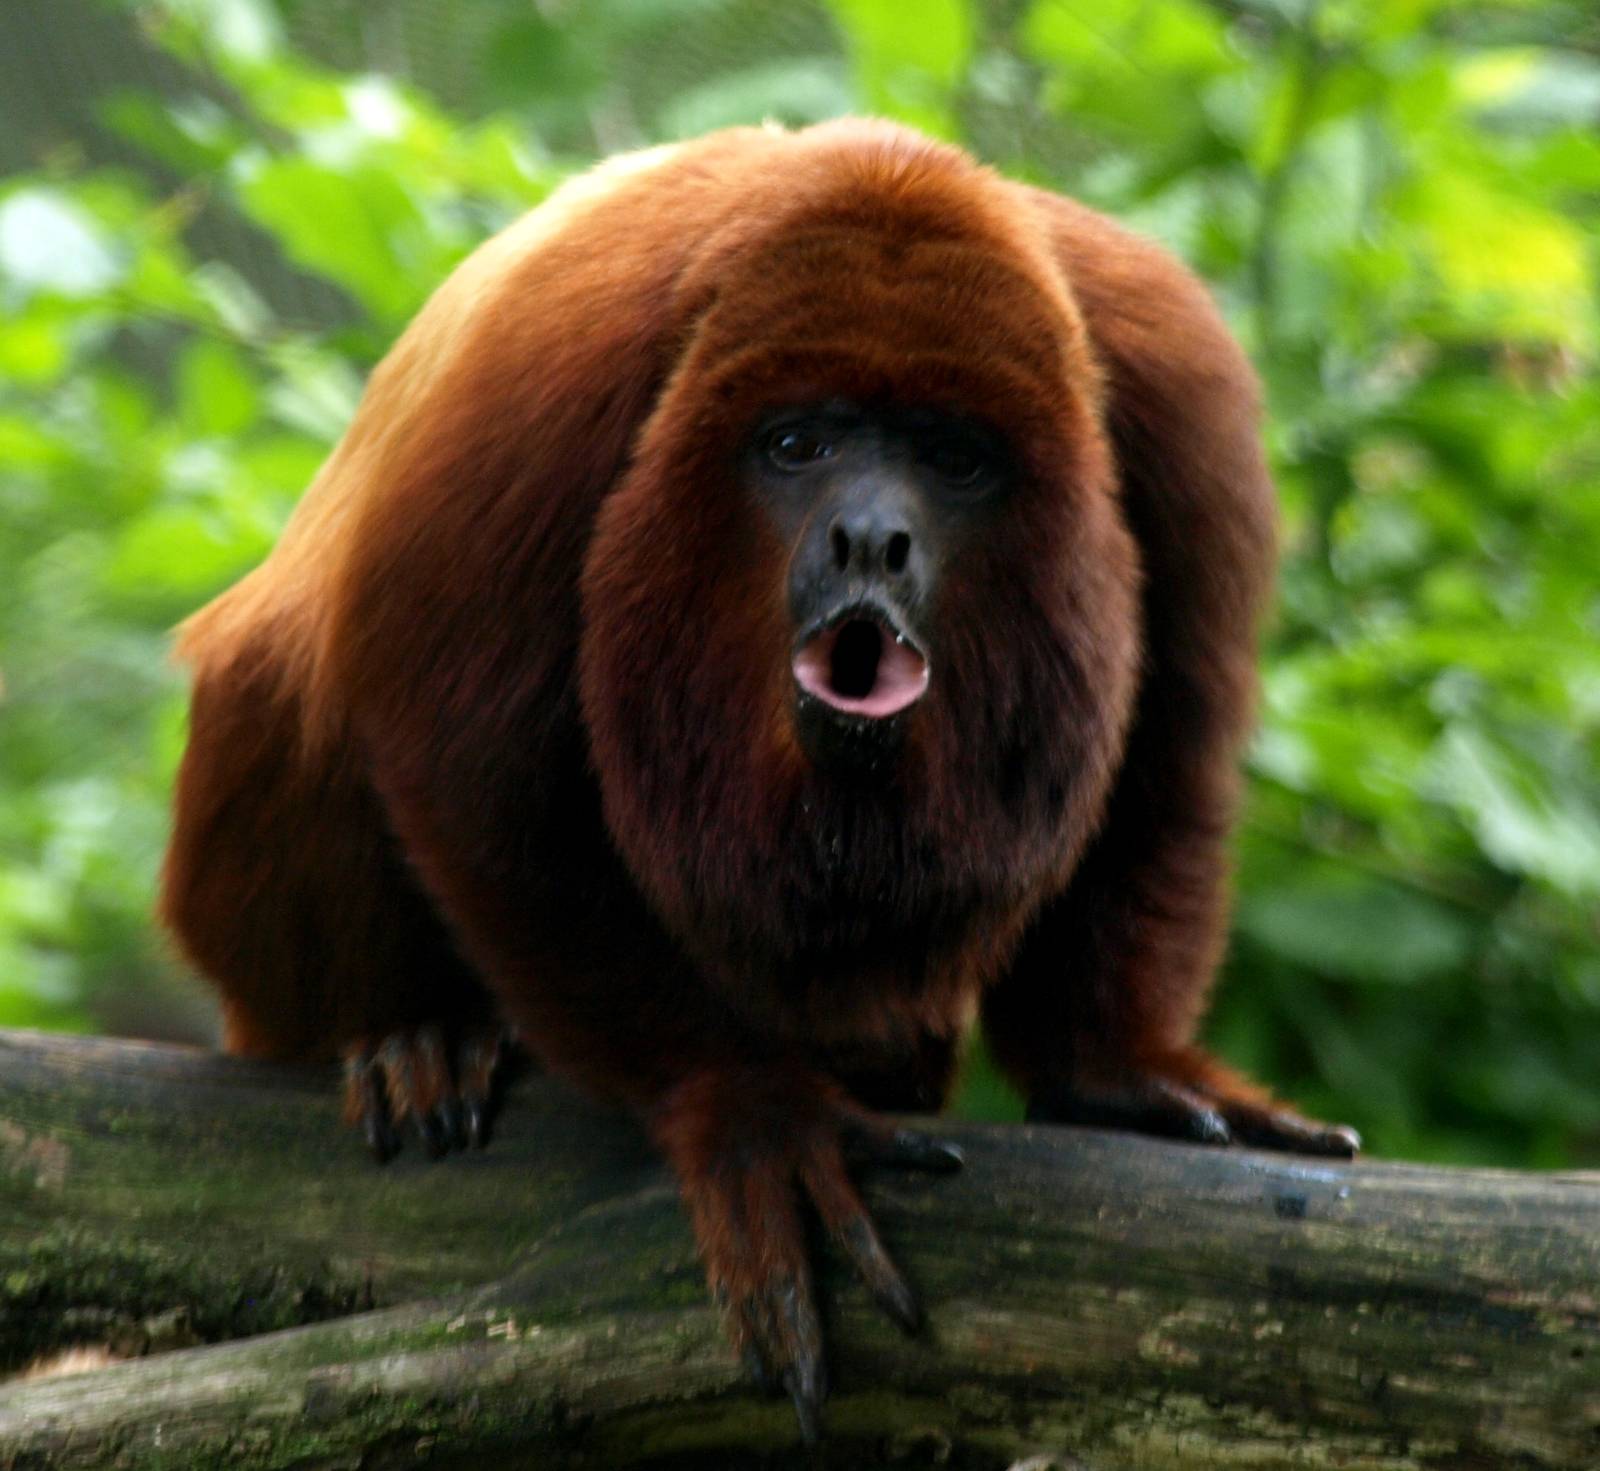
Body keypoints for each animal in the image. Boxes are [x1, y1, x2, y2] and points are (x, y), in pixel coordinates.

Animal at [161, 119, 1358, 1440]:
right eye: (799, 445)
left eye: (953, 458)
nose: (869, 538)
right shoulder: (543, 383)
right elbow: (469, 757)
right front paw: (742, 1108)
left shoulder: (1172, 386)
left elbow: (1169, 745)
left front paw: (1115, 1066)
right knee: (289, 675)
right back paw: (409, 1031)